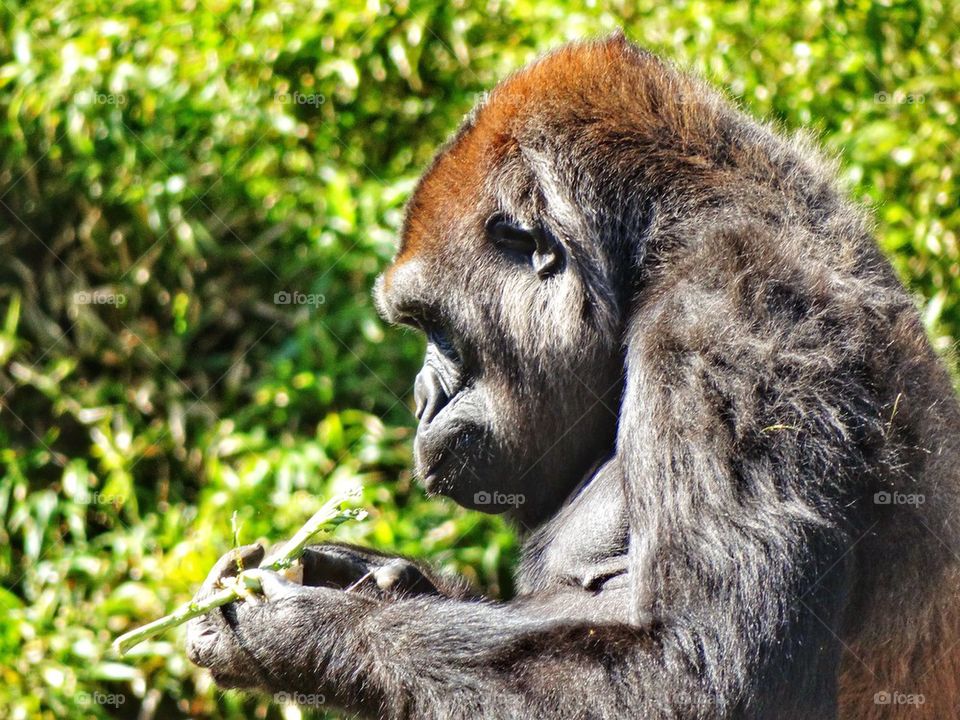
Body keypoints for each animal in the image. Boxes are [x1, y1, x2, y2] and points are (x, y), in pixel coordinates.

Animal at [186, 33, 960, 719]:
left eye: (438, 330)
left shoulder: (734, 324)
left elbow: (700, 679)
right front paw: (373, 580)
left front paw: (300, 628)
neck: (663, 245)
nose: (419, 399)